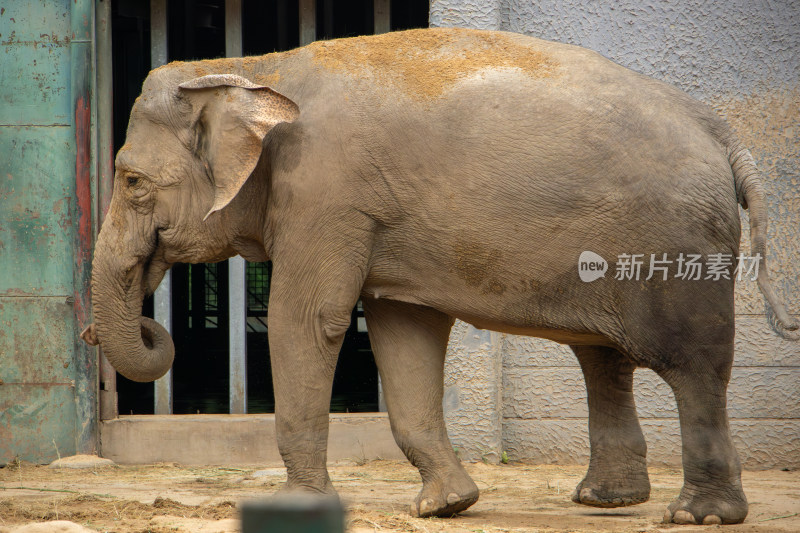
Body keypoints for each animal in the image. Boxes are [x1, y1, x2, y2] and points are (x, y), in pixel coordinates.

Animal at [78, 28, 796, 524]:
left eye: (133, 183)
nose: (145, 324)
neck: (257, 69)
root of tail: (720, 131)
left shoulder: (327, 193)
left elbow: (306, 320)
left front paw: (299, 507)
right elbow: (403, 334)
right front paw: (446, 506)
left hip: (675, 245)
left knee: (693, 365)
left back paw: (699, 515)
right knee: (603, 357)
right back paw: (605, 500)